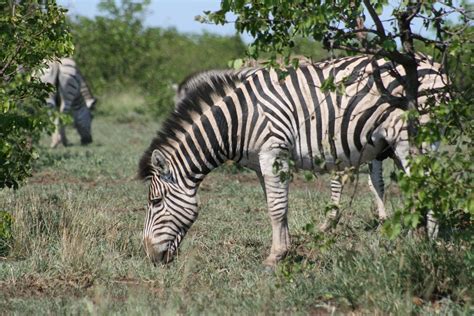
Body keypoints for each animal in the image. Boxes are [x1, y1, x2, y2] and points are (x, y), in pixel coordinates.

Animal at [138, 53, 448, 266]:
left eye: (155, 201)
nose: (151, 256)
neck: (238, 121)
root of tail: (430, 61)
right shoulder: (260, 164)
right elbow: (276, 206)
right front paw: (285, 250)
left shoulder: (274, 152)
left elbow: (276, 208)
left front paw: (274, 257)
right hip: (393, 145)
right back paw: (410, 237)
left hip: (411, 137)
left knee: (425, 184)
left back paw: (429, 246)